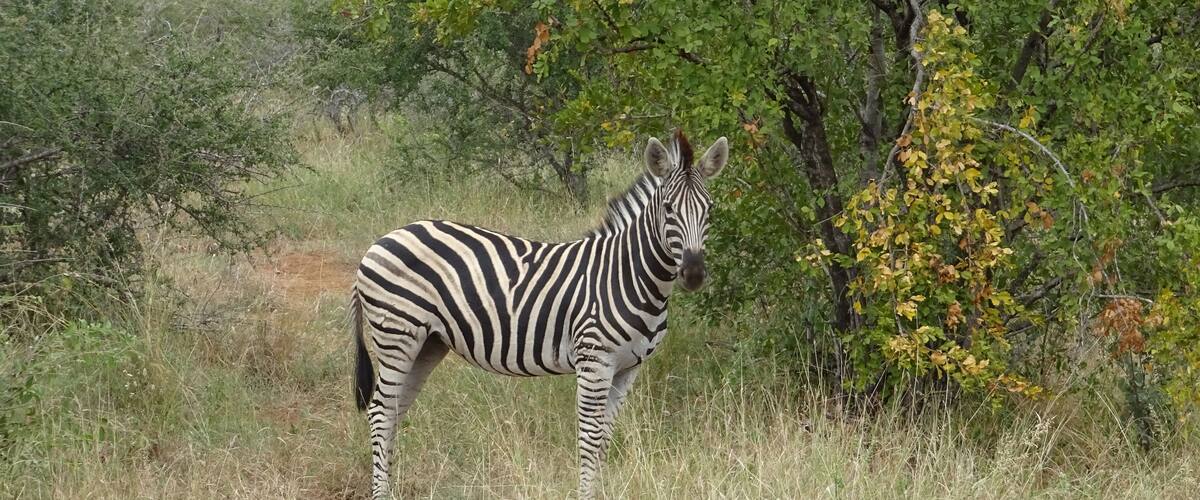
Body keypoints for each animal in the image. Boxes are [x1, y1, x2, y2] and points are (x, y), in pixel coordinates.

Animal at [350, 130, 728, 499]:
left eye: (709, 210)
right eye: (668, 209)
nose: (694, 274)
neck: (627, 275)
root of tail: (381, 241)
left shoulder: (627, 369)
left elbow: (605, 438)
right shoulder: (594, 362)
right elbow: (590, 438)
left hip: (428, 343)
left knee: (395, 409)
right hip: (397, 335)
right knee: (380, 410)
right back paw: (381, 494)